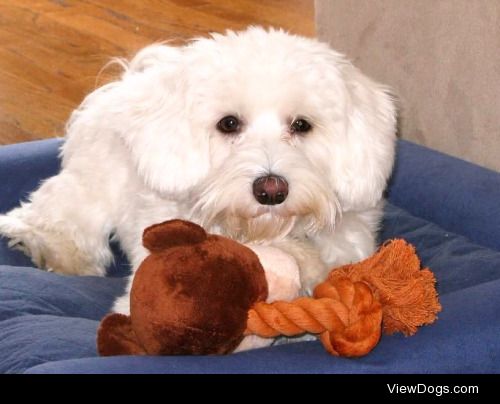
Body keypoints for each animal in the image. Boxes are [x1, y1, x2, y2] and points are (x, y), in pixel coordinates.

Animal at [0, 28, 394, 314]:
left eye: (301, 125)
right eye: (229, 123)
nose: (271, 190)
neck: (261, 234)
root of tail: (123, 82)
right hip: (93, 182)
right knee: (53, 213)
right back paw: (55, 250)